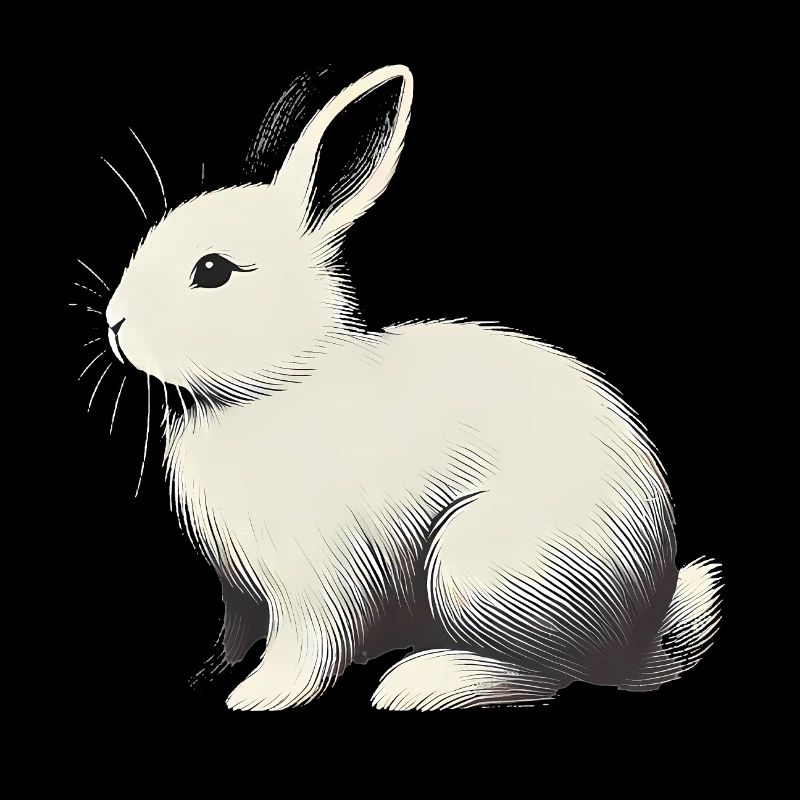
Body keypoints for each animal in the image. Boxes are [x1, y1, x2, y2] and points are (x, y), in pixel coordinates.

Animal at [102, 64, 722, 710]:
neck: (277, 385)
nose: (115, 322)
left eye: (213, 271)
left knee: (552, 673)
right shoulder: (240, 595)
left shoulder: (315, 588)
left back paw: (420, 682)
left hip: (475, 569)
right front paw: (207, 673)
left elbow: (311, 650)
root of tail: (642, 628)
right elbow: (235, 634)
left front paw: (258, 697)